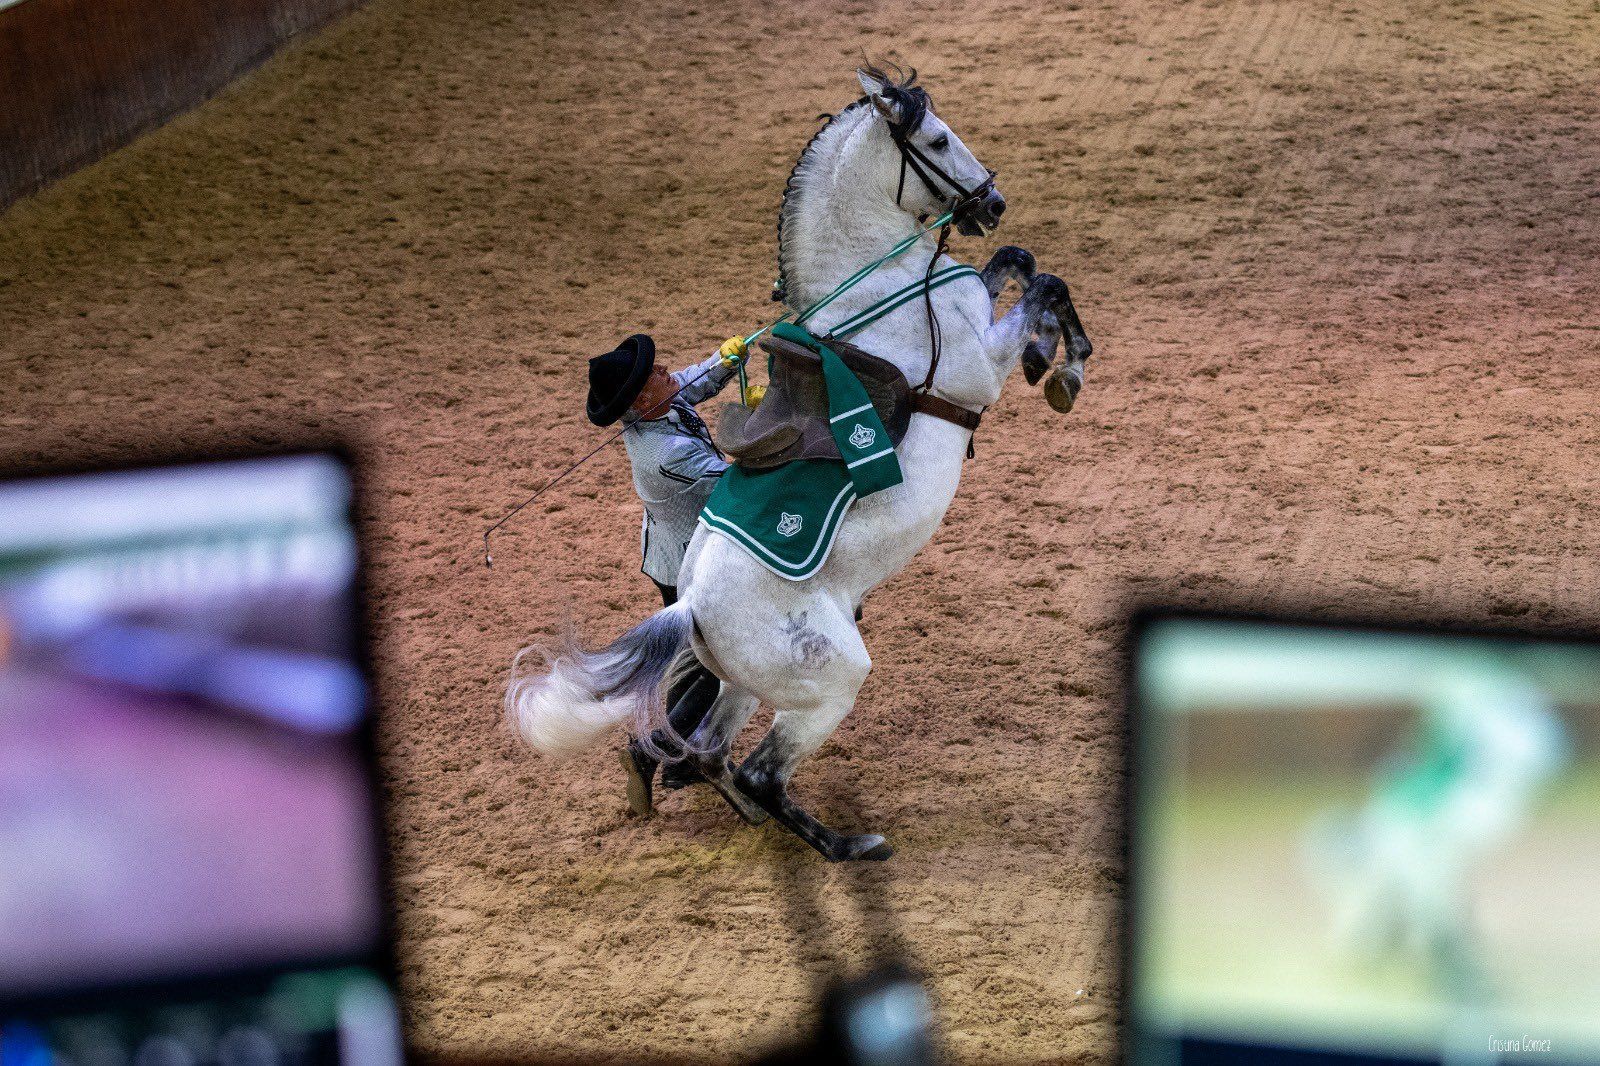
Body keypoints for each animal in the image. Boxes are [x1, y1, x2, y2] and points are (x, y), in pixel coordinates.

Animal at [505, 64, 1094, 857]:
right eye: (938, 140)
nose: (992, 203)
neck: (880, 291)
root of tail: (689, 606)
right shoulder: (978, 371)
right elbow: (1044, 286)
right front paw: (1060, 368)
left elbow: (1020, 265)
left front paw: (1053, 351)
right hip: (830, 683)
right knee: (758, 770)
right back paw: (850, 846)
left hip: (742, 685)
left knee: (710, 750)